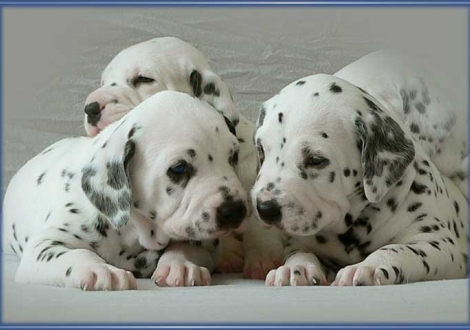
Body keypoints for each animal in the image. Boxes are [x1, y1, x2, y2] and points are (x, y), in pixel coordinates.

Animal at [3, 91, 250, 290]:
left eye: (233, 156)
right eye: (179, 168)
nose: (235, 210)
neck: (134, 229)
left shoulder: (203, 240)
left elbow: (187, 245)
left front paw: (181, 265)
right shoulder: (45, 244)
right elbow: (75, 253)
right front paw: (100, 271)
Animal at [242, 49, 470, 282]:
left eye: (316, 160)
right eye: (262, 150)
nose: (265, 208)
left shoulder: (438, 243)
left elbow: (400, 250)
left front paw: (369, 267)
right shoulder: (299, 240)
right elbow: (299, 251)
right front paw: (296, 267)